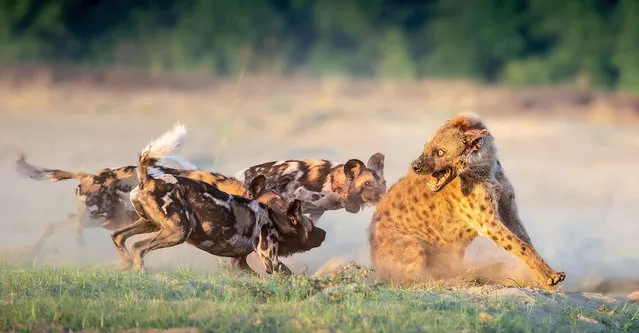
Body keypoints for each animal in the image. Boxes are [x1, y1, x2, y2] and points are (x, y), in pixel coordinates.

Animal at [115, 124, 324, 272]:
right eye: (311, 226)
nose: (324, 233)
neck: (274, 216)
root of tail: (149, 178)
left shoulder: (240, 264)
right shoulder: (271, 261)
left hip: (152, 224)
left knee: (118, 236)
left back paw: (126, 265)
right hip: (178, 231)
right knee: (137, 247)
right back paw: (142, 273)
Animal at [368, 112, 568, 288]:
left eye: (439, 152)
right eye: (425, 147)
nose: (415, 166)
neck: (485, 169)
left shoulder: (508, 209)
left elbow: (525, 241)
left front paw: (546, 278)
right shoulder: (486, 222)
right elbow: (518, 245)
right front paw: (550, 277)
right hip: (412, 245)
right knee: (413, 275)